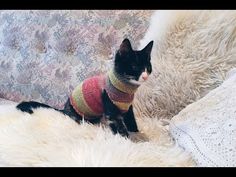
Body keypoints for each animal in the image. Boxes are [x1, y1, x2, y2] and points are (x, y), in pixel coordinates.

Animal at [16, 38, 153, 140]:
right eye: (134, 66)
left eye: (148, 67)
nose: (145, 76)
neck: (124, 88)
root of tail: (64, 109)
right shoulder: (109, 103)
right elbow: (117, 123)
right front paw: (125, 139)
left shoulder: (127, 107)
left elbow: (131, 119)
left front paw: (137, 133)